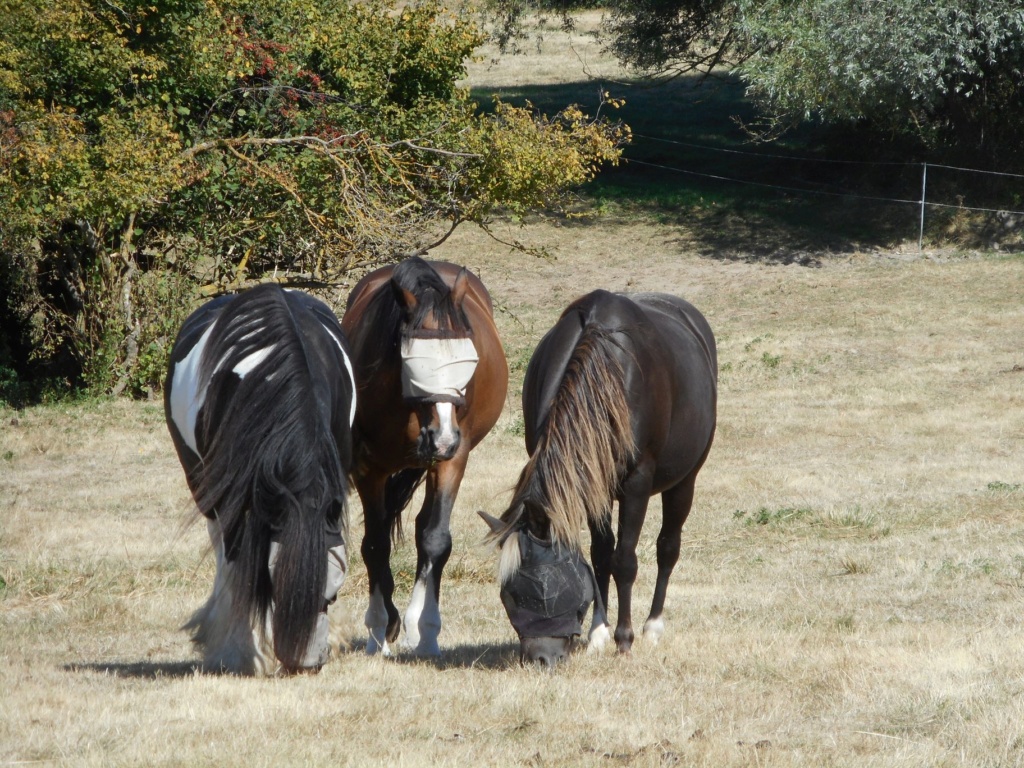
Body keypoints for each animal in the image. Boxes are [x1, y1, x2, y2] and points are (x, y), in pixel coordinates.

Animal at [344, 257, 507, 655]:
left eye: (465, 363)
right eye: (415, 364)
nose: (444, 437)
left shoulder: (451, 461)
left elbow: (435, 539)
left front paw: (427, 632)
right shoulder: (369, 468)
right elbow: (375, 544)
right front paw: (379, 629)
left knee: (423, 529)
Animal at [477, 290, 712, 663]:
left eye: (547, 587)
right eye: (508, 595)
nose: (540, 659)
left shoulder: (636, 485)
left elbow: (624, 560)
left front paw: (624, 638)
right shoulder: (590, 481)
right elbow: (600, 556)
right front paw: (599, 632)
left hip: (684, 481)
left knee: (667, 548)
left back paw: (652, 627)